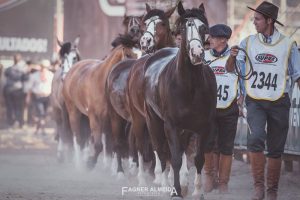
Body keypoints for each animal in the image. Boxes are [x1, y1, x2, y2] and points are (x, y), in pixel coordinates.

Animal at [63, 34, 138, 169]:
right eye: (128, 54)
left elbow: (114, 145)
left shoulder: (114, 119)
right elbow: (98, 145)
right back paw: (79, 164)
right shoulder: (95, 117)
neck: (103, 83)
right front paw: (89, 163)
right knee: (78, 139)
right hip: (73, 112)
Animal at [105, 2, 176, 181]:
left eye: (162, 23)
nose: (145, 41)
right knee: (121, 142)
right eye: (146, 23)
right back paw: (121, 171)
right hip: (118, 116)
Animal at [138, 2, 216, 198]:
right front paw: (175, 191)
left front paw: (197, 191)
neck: (189, 87)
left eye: (204, 28)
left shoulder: (204, 126)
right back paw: (163, 183)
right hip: (153, 121)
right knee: (161, 151)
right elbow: (173, 158)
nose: (197, 53)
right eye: (182, 28)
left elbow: (198, 158)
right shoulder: (171, 125)